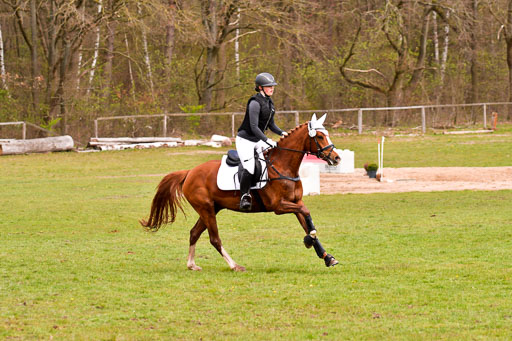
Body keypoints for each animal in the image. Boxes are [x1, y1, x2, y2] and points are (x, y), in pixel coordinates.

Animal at [139, 114, 340, 270]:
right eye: (320, 136)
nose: (337, 158)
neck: (283, 166)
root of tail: (189, 172)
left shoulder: (295, 203)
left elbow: (307, 221)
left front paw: (327, 257)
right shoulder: (279, 206)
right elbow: (307, 216)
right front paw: (309, 240)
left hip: (211, 209)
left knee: (194, 233)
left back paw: (192, 264)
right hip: (206, 209)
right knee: (214, 239)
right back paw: (234, 265)